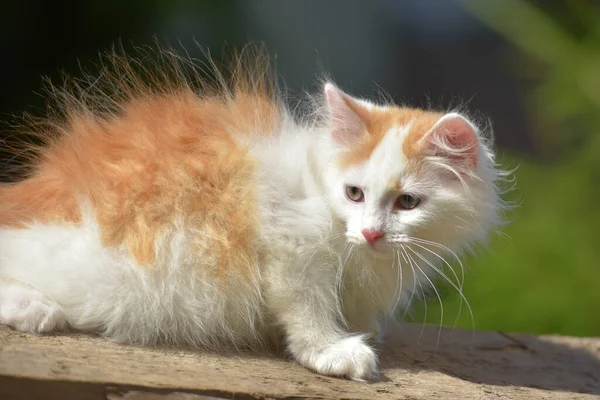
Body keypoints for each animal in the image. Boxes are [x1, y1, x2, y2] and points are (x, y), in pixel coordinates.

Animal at [0, 45, 506, 380]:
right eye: (354, 194)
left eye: (407, 202)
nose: (371, 233)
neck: (317, 181)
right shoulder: (293, 241)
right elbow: (305, 307)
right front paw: (333, 351)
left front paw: (360, 328)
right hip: (100, 271)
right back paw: (34, 309)